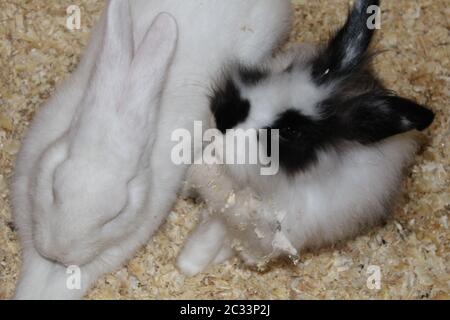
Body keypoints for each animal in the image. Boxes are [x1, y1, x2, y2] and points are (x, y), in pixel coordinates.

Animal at [178, 0, 434, 276]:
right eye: (284, 74)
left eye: (291, 132)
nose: (223, 118)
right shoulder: (222, 207)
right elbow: (210, 230)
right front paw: (187, 263)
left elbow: (226, 239)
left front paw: (192, 264)